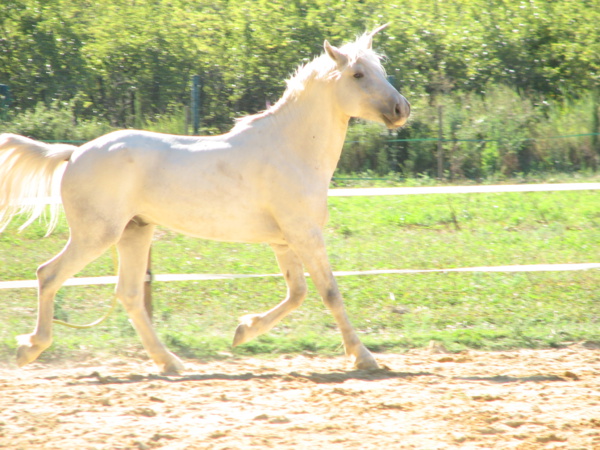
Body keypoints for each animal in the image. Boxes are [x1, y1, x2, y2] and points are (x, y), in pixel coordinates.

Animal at [0, 26, 410, 374]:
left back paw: (169, 362)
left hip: (135, 232)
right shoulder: (304, 233)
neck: (290, 148)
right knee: (48, 274)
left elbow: (298, 293)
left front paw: (243, 330)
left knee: (129, 295)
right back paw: (30, 348)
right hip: (96, 235)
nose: (401, 109)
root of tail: (74, 154)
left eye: (380, 69)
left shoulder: (284, 240)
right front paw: (364, 358)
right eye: (358, 75)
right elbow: (329, 292)